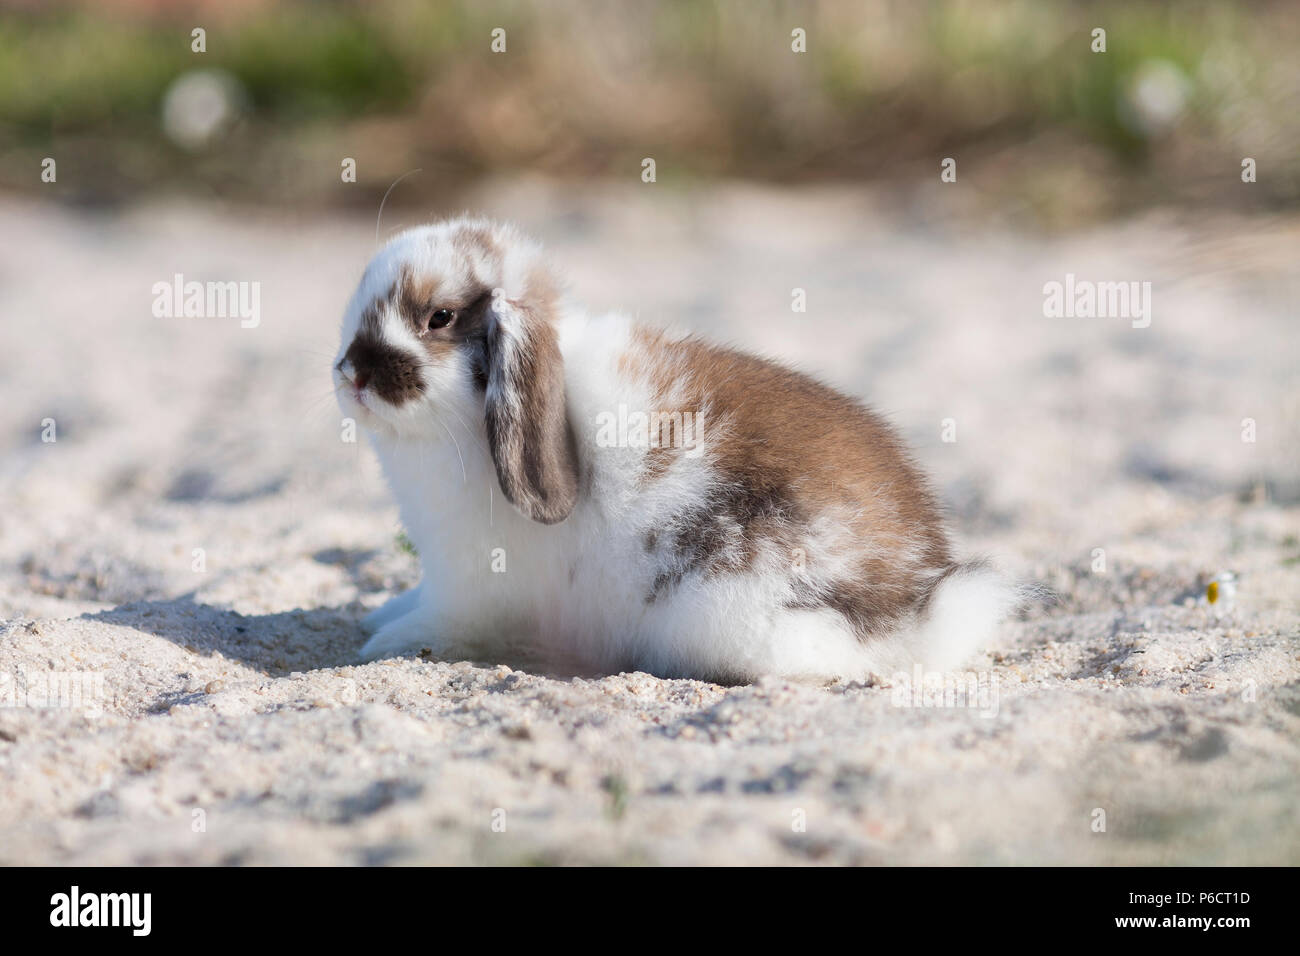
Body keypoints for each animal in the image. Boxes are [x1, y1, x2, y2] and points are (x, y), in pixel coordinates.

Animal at [333, 216, 1019, 683]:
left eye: (439, 318)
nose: (351, 374)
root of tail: (916, 605)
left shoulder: (471, 590)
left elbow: (443, 623)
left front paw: (383, 644)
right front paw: (377, 618)